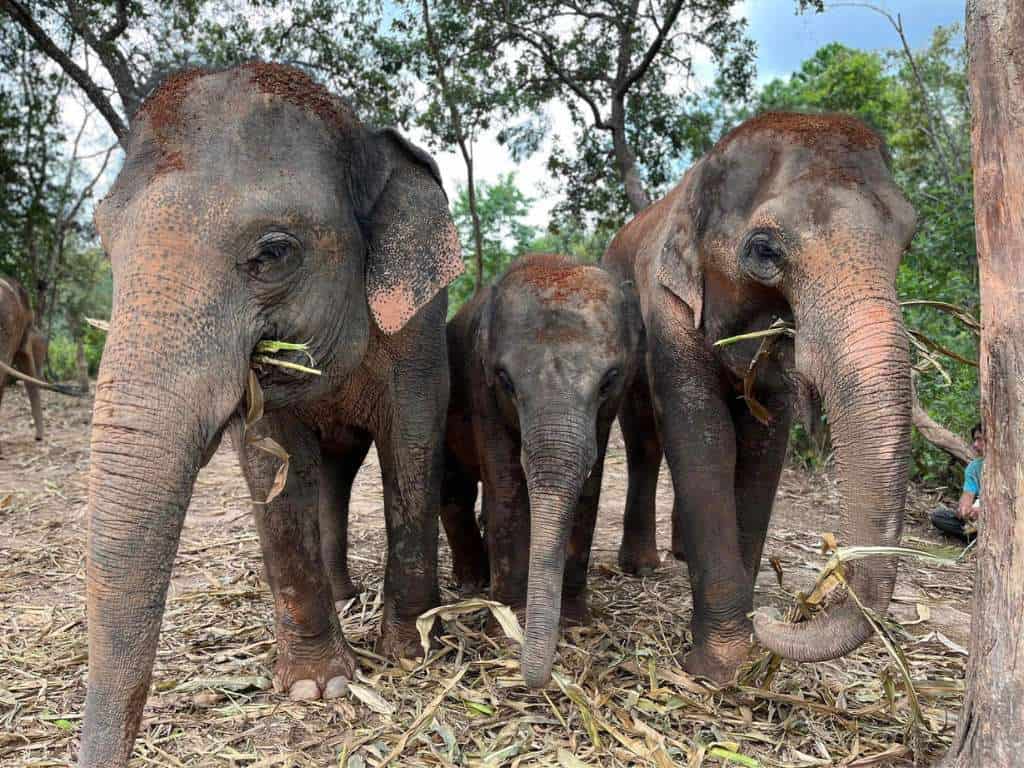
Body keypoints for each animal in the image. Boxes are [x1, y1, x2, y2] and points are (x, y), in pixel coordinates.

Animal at [80, 63, 464, 765]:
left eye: (275, 252)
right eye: (104, 241)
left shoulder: (420, 329)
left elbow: (412, 446)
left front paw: (413, 653)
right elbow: (273, 467)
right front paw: (318, 687)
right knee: (326, 474)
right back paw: (341, 595)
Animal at [440, 253, 638, 692]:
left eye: (609, 381)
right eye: (506, 381)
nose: (535, 680)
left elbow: (589, 489)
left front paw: (577, 621)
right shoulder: (481, 389)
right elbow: (508, 490)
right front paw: (509, 623)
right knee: (455, 489)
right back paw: (472, 582)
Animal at [602, 112, 917, 684]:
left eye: (908, 239)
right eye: (765, 251)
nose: (775, 615)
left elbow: (761, 449)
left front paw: (745, 643)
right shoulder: (667, 310)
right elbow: (703, 439)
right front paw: (721, 668)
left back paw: (681, 554)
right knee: (643, 441)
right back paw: (642, 566)